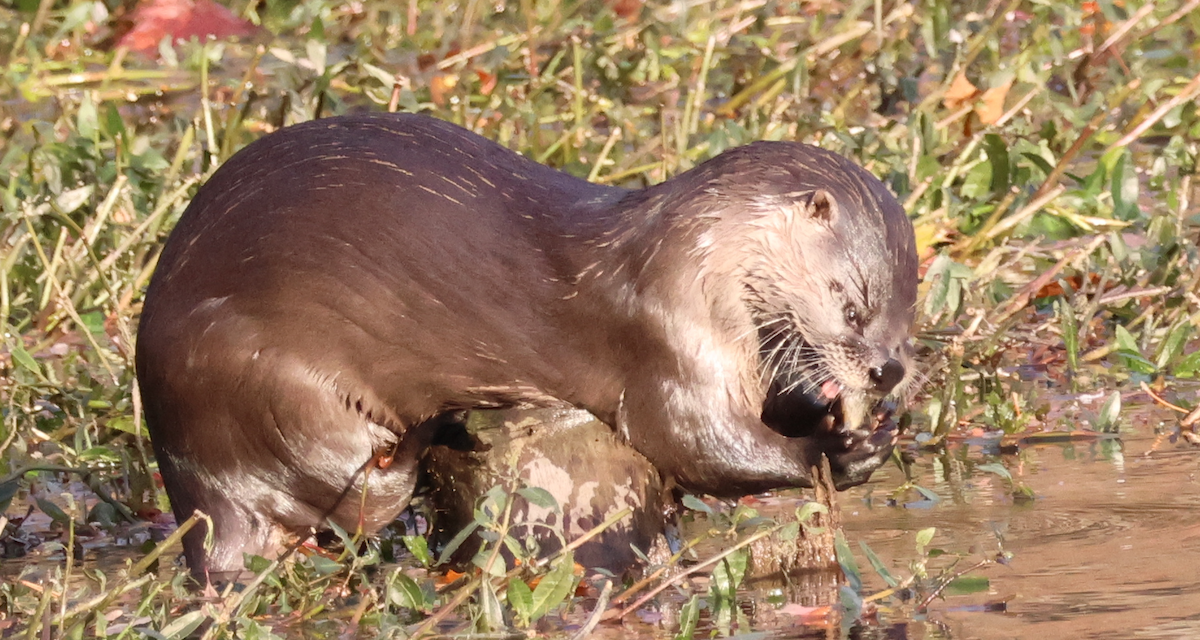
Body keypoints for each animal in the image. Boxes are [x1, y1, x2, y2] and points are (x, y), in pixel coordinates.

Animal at [135, 113, 917, 580]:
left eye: (909, 305)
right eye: (852, 303)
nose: (887, 370)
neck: (693, 263)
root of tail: (192, 486)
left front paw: (840, 416)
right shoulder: (668, 337)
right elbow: (696, 443)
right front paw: (839, 450)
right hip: (268, 387)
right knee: (355, 497)